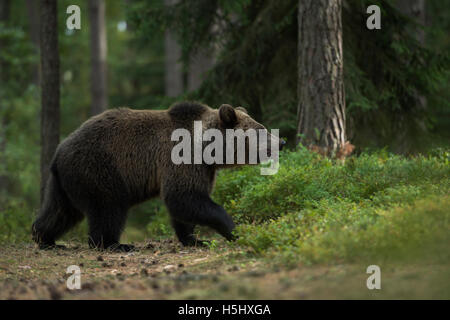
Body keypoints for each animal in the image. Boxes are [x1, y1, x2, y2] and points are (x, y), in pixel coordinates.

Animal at [32, 101, 284, 251]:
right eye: (261, 130)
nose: (281, 141)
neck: (208, 149)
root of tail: (59, 151)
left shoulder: (204, 169)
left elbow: (186, 205)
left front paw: (195, 239)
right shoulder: (183, 159)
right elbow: (183, 197)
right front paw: (233, 229)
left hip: (66, 180)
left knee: (61, 210)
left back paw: (45, 238)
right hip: (100, 169)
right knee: (109, 208)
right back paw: (112, 244)